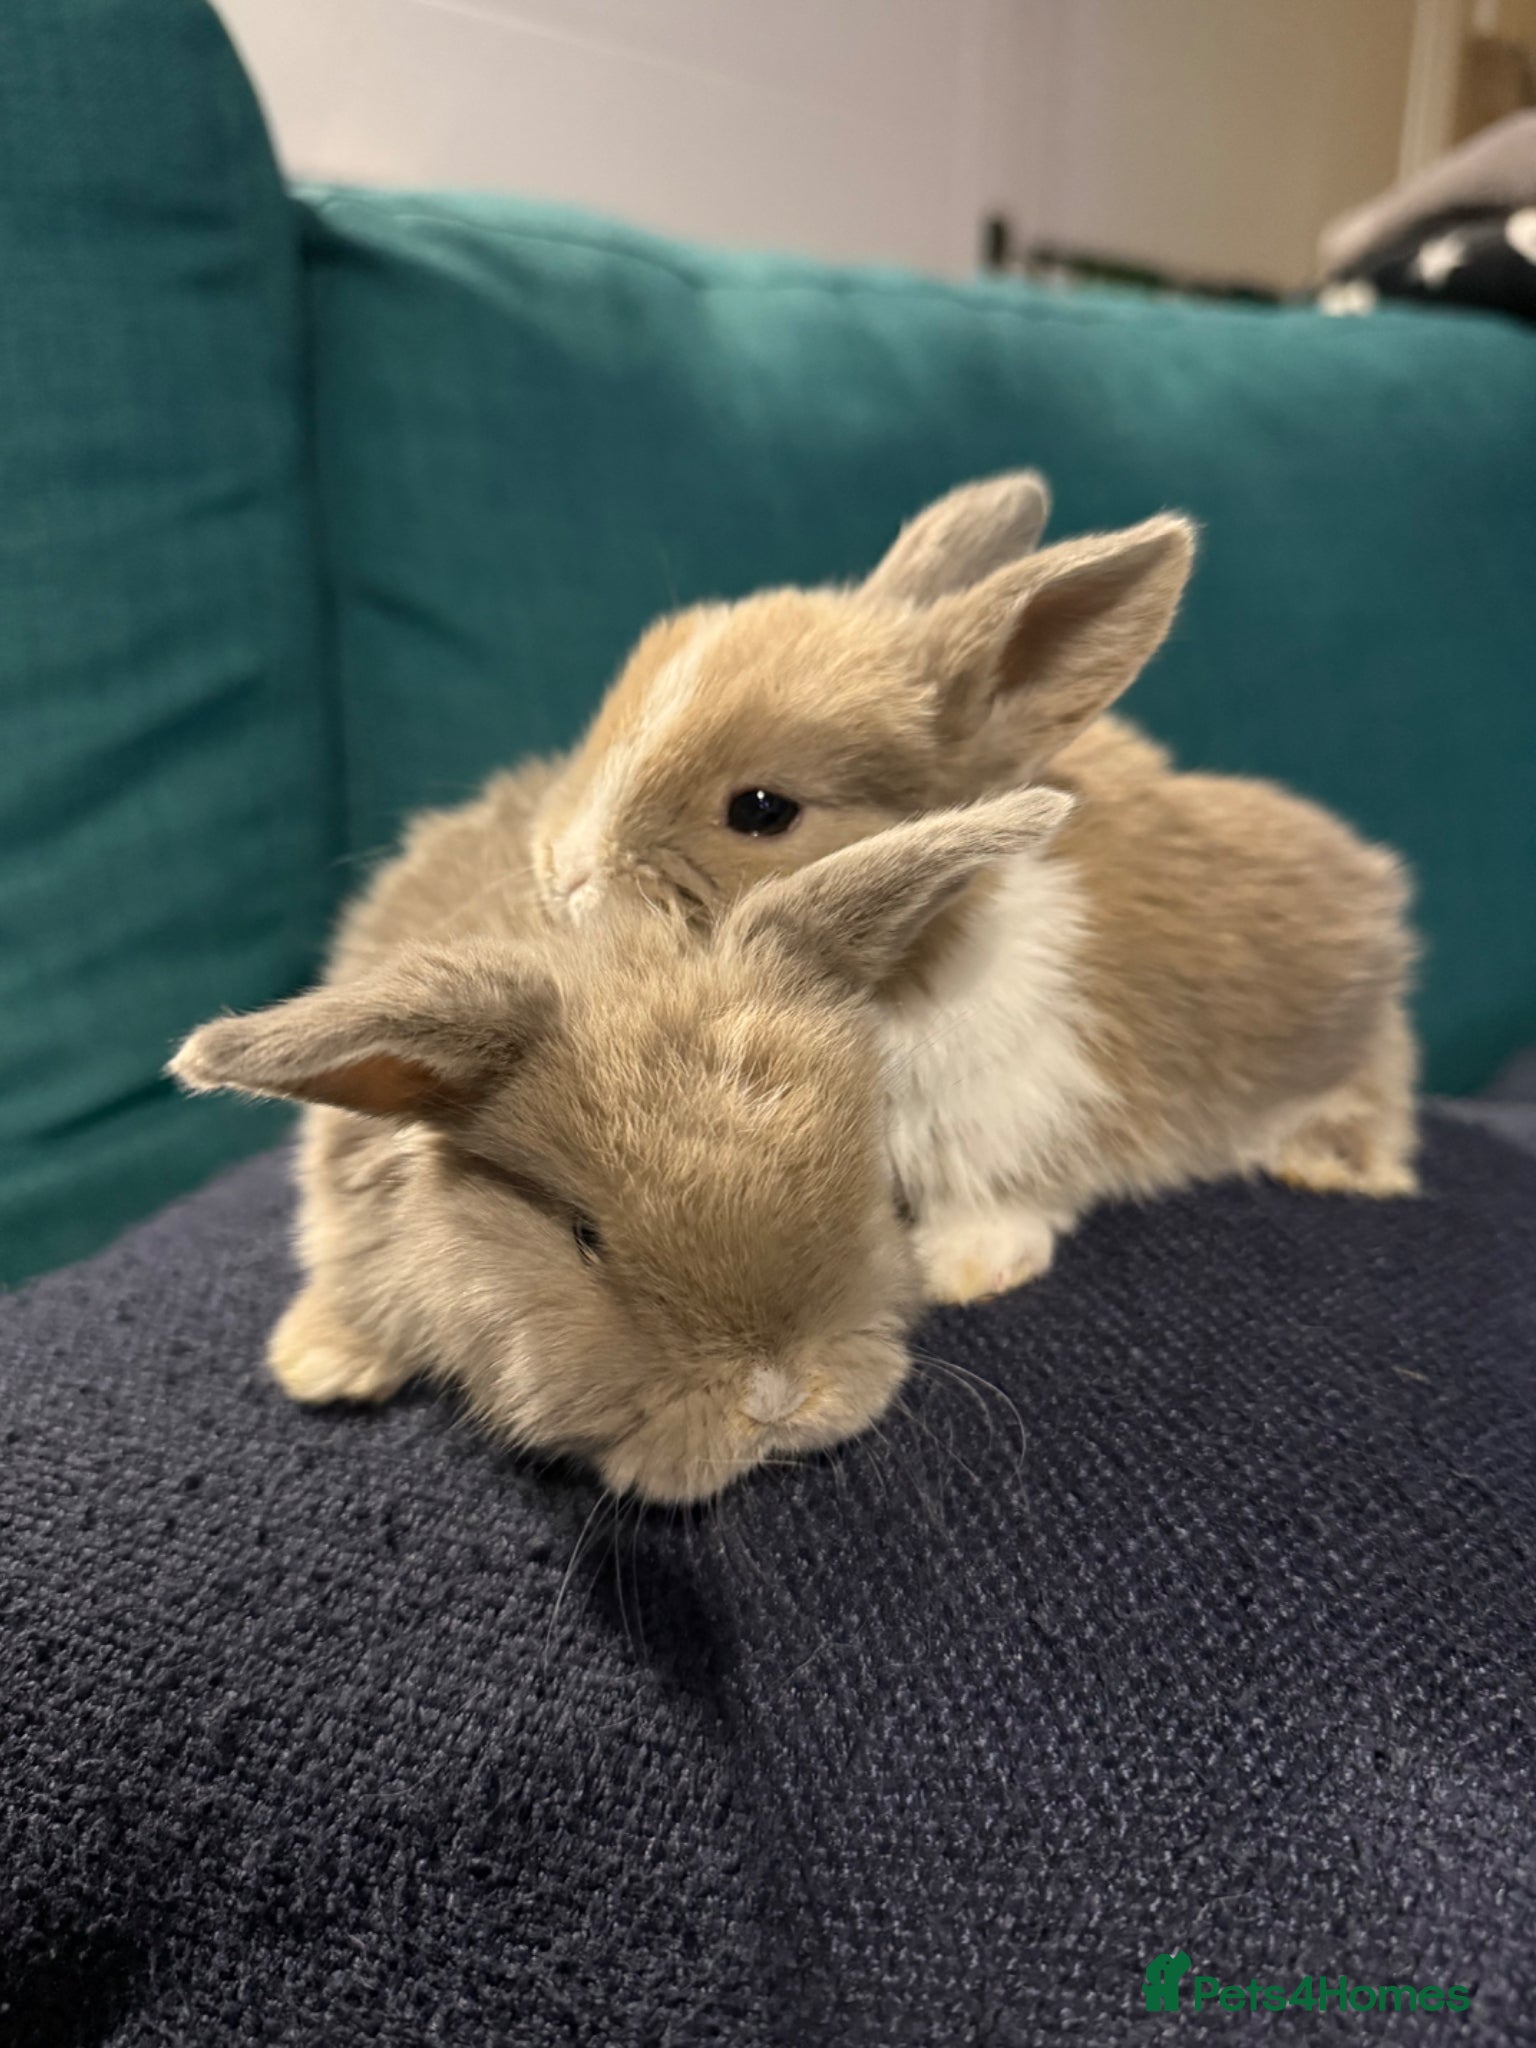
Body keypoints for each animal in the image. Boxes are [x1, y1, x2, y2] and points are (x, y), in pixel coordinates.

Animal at [528, 472, 1419, 1304]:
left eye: (761, 809)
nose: (562, 871)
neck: (928, 944)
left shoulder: (1027, 1105)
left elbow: (1006, 1192)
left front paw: (960, 1271)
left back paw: (1328, 1162)